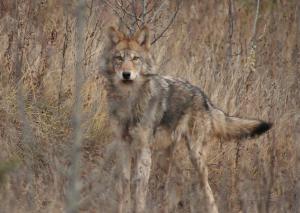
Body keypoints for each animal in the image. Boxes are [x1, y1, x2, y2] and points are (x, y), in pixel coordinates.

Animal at [101, 25, 272, 212]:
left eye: (135, 58)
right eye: (119, 58)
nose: (126, 74)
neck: (129, 102)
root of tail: (204, 98)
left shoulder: (144, 150)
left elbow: (139, 192)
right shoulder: (123, 145)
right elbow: (124, 186)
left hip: (194, 156)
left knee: (206, 189)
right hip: (165, 157)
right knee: (175, 184)